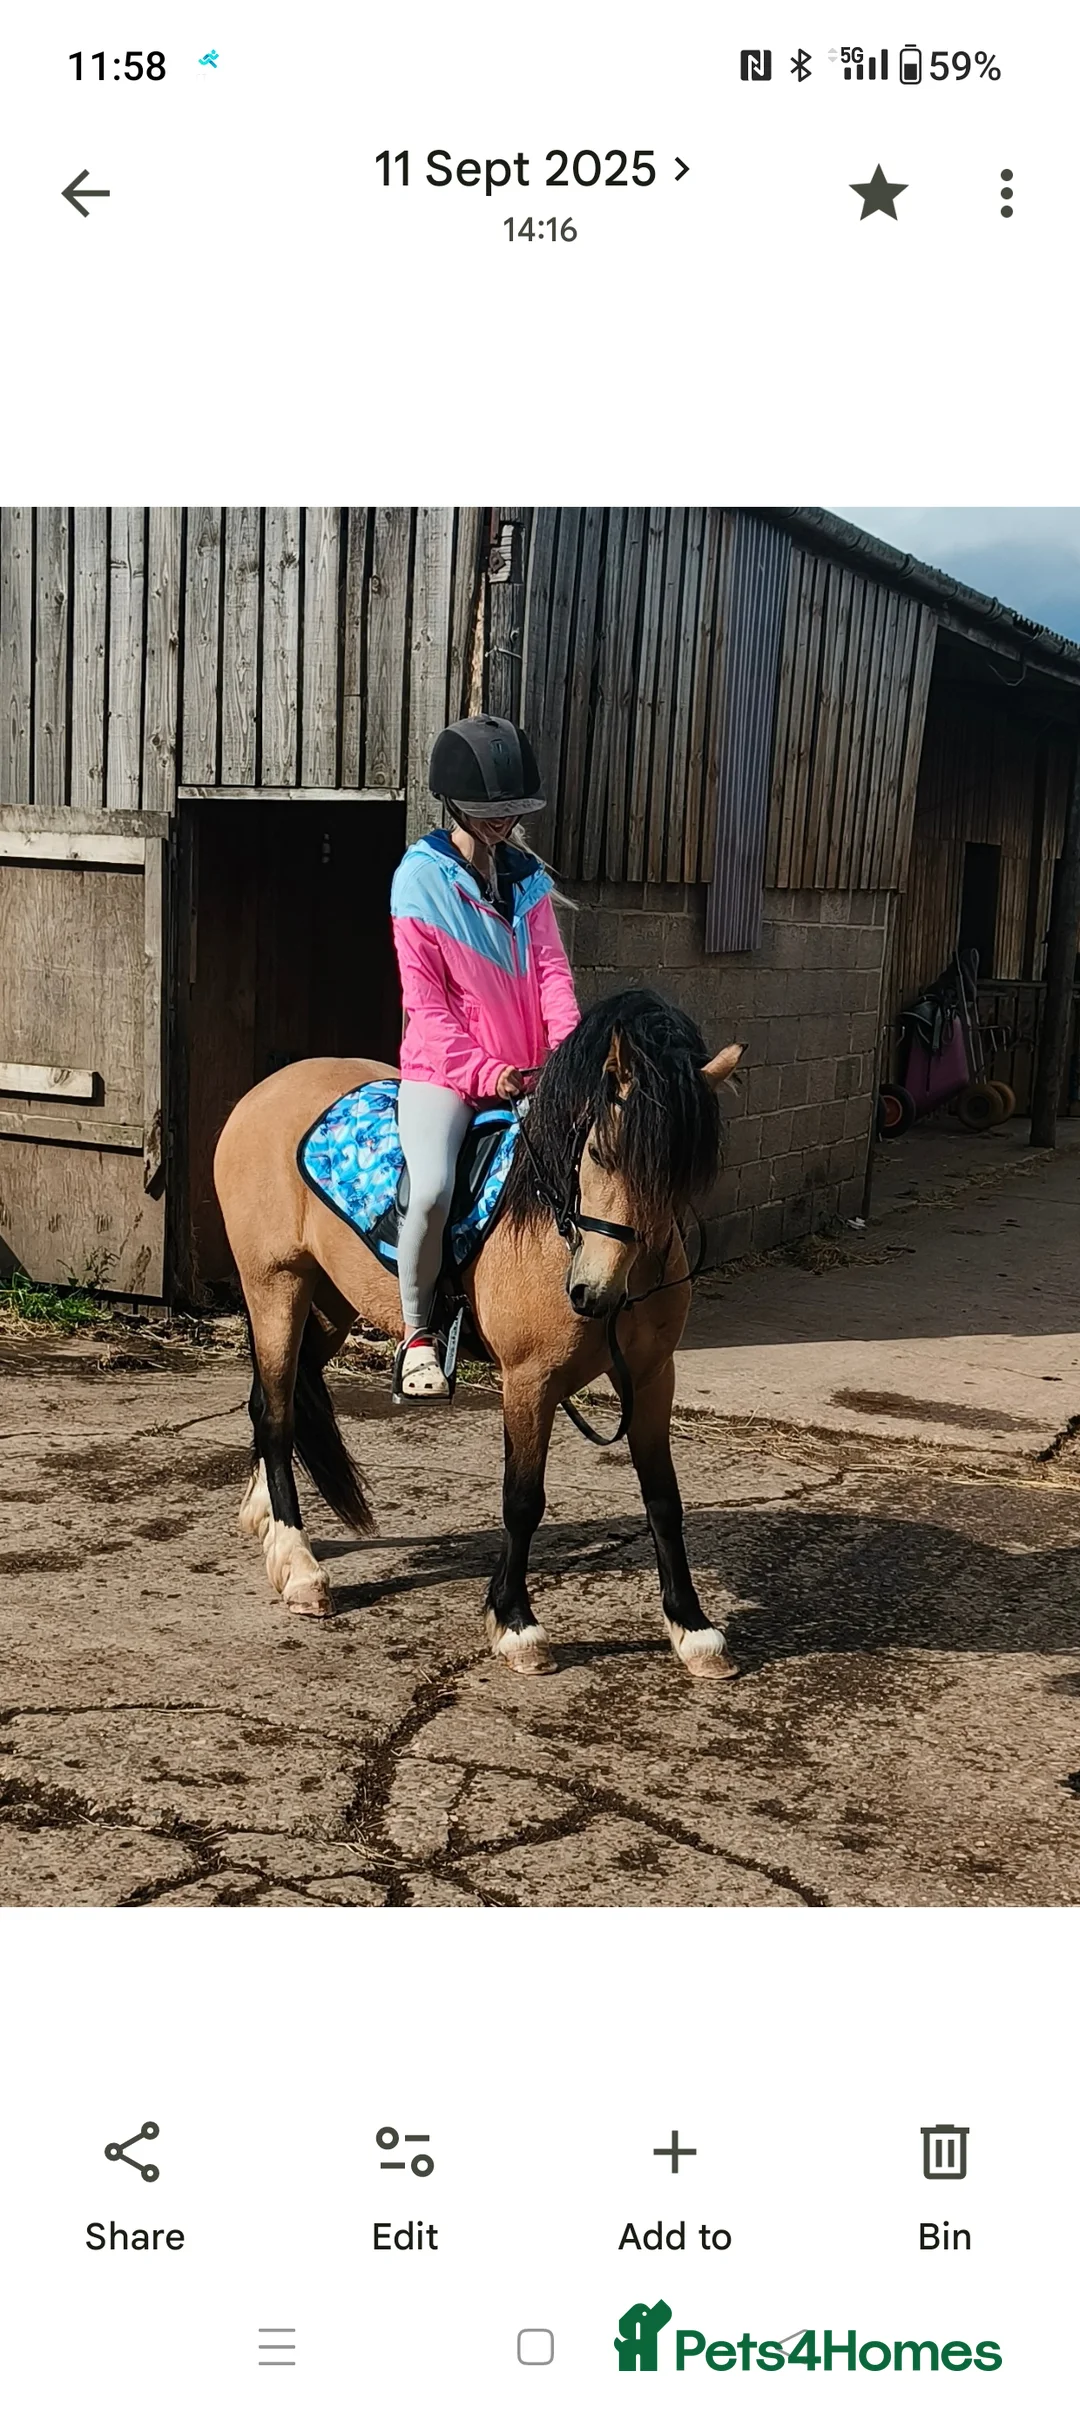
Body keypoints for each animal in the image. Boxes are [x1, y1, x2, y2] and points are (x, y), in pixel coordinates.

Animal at [212, 988, 743, 1679]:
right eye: (600, 1153)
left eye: (680, 1175)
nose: (591, 1294)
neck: (556, 1225)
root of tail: (264, 1091)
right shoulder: (529, 1381)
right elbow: (523, 1499)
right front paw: (517, 1624)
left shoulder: (654, 1378)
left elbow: (664, 1498)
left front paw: (692, 1629)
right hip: (275, 1286)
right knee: (277, 1417)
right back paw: (299, 1566)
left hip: (327, 1307)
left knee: (270, 1404)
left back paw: (266, 1523)